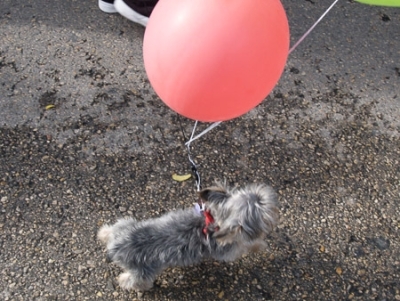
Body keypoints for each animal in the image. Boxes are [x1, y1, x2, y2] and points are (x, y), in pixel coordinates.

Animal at [97, 182, 278, 290]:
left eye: (257, 191)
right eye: (263, 211)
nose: (268, 193)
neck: (215, 221)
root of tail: (115, 246)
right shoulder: (228, 251)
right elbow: (245, 245)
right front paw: (260, 245)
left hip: (125, 223)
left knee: (114, 227)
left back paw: (104, 233)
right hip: (143, 271)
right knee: (133, 280)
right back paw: (134, 284)